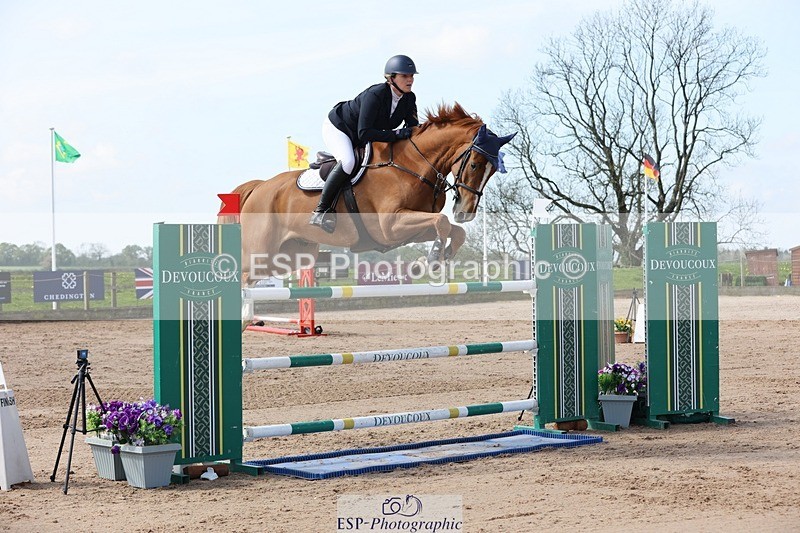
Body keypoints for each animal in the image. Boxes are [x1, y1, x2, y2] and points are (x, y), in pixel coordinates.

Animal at [220, 102, 515, 286]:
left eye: (492, 171)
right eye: (475, 164)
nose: (466, 212)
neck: (413, 164)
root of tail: (259, 187)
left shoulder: (411, 227)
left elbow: (452, 230)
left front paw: (430, 261)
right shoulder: (390, 226)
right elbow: (442, 222)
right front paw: (430, 260)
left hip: (292, 255)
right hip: (261, 251)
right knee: (242, 275)